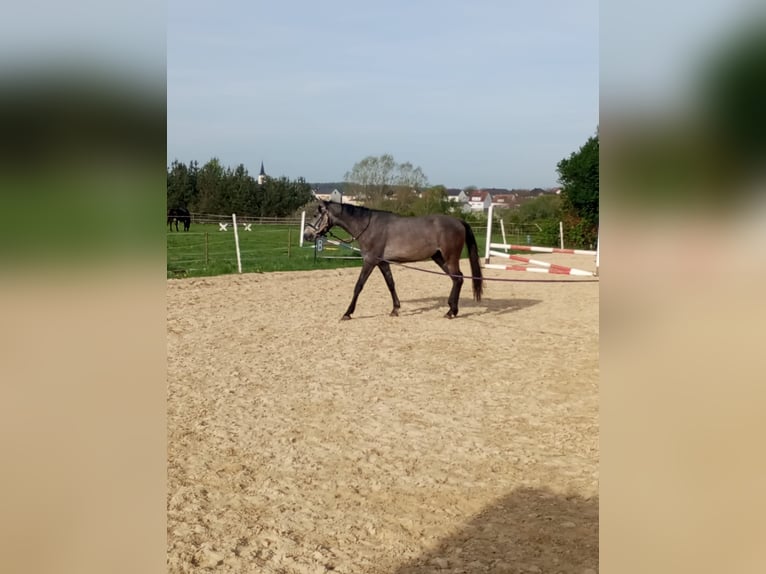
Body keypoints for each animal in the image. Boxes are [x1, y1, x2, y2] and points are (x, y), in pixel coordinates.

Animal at [304, 201, 484, 320]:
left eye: (315, 215)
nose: (307, 235)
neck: (368, 227)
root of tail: (459, 221)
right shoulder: (382, 262)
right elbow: (391, 284)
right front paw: (395, 309)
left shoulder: (370, 261)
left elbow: (359, 286)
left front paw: (347, 313)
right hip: (439, 258)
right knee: (456, 279)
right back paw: (452, 309)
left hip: (450, 258)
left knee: (458, 278)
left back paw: (451, 311)